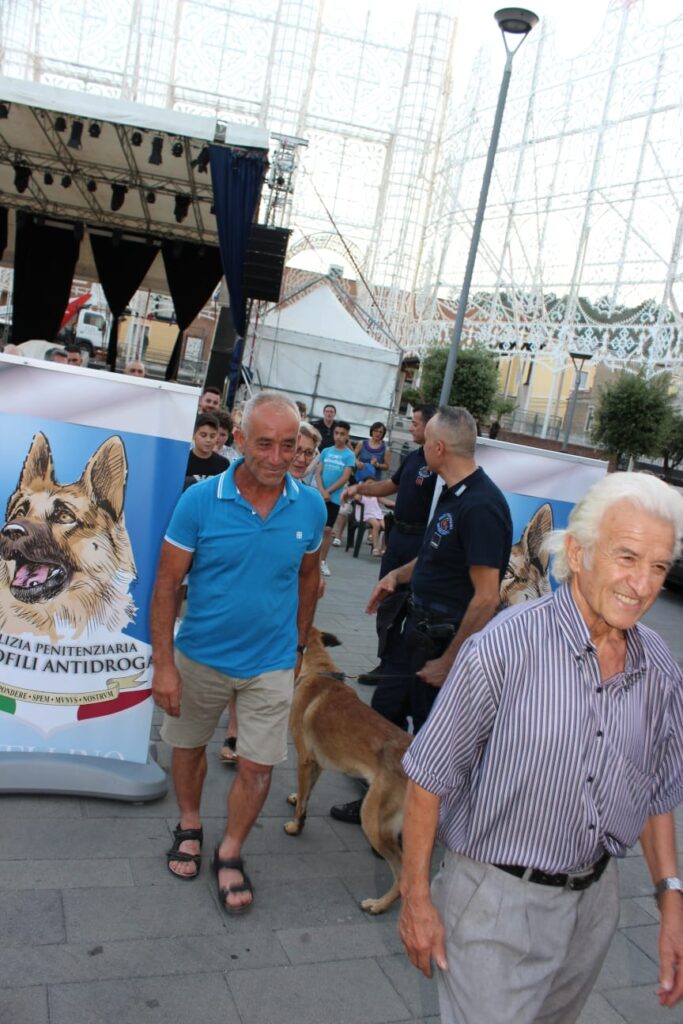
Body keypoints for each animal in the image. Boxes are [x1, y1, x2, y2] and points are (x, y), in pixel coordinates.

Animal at [284, 626, 411, 917]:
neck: (319, 669)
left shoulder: (304, 759)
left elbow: (303, 803)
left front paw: (296, 826)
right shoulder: (317, 763)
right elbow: (306, 794)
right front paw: (298, 800)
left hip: (373, 820)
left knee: (402, 872)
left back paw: (379, 904)